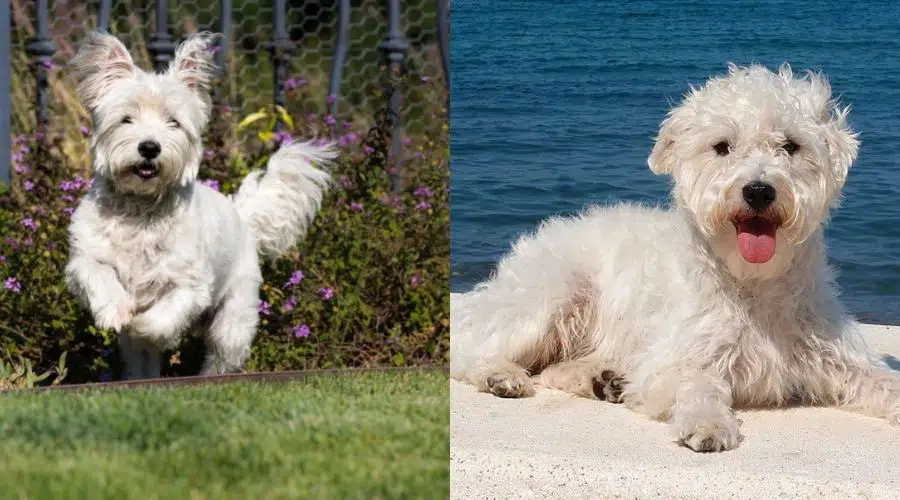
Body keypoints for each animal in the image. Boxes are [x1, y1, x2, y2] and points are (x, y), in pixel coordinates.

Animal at [65, 31, 336, 378]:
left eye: (174, 122)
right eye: (126, 119)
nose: (149, 147)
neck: (141, 208)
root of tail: (242, 216)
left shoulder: (190, 284)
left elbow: (160, 317)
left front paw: (142, 324)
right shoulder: (86, 258)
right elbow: (97, 275)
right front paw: (115, 311)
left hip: (234, 316)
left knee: (221, 354)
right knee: (141, 361)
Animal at [454, 63, 900, 454]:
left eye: (791, 146)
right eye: (722, 147)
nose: (758, 190)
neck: (754, 283)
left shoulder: (841, 359)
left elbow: (884, 380)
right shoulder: (676, 360)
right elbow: (697, 385)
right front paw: (709, 424)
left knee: (550, 367)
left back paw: (602, 380)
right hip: (553, 295)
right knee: (473, 350)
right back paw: (501, 375)